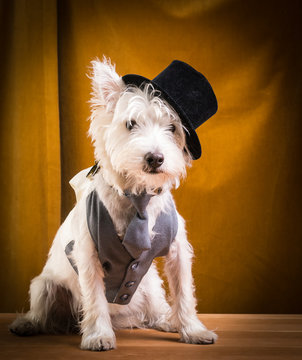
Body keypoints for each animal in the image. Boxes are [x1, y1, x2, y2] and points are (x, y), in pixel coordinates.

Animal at [8, 57, 217, 350]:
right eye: (131, 124)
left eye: (172, 128)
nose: (155, 158)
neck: (138, 196)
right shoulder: (88, 254)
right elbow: (95, 298)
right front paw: (98, 335)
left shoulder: (178, 251)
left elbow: (184, 292)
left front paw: (193, 330)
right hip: (44, 286)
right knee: (42, 312)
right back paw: (27, 324)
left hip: (150, 286)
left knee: (154, 310)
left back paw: (168, 320)